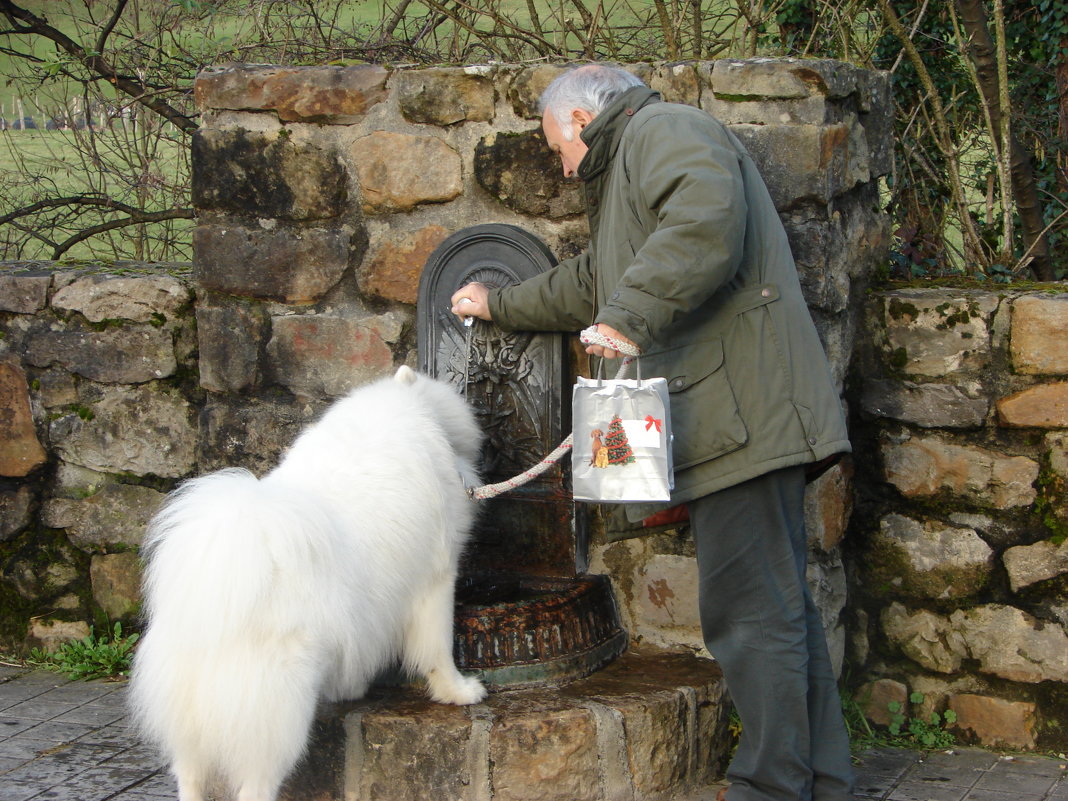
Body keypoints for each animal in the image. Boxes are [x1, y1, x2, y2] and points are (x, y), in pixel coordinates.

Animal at [126, 369, 489, 801]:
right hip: (275, 717)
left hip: (192, 729)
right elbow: (438, 650)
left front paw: (350, 689)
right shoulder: (436, 580)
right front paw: (459, 692)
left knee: (191, 779)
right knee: (255, 786)